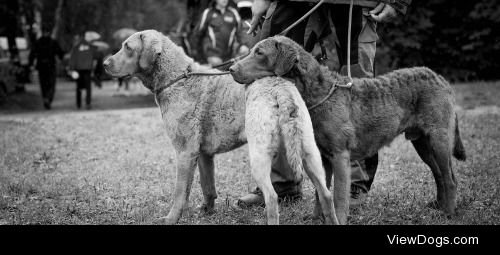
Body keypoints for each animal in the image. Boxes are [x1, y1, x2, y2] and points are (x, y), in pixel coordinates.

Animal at [229, 35, 466, 223]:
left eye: (259, 53)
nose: (231, 69)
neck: (319, 92)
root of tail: (440, 78)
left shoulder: (340, 155)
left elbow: (339, 195)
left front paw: (339, 218)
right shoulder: (323, 156)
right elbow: (321, 190)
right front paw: (317, 218)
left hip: (438, 138)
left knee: (450, 178)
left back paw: (448, 213)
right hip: (422, 142)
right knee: (439, 174)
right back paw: (438, 206)